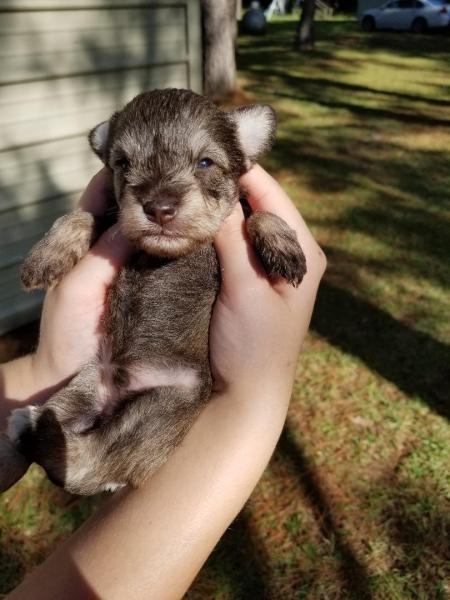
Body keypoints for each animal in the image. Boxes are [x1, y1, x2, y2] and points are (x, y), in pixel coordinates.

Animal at [0, 88, 306, 492]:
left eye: (205, 162)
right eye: (122, 163)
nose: (159, 208)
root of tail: (115, 393)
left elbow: (258, 215)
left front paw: (284, 248)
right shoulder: (109, 219)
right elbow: (78, 216)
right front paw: (44, 257)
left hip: (163, 405)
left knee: (92, 460)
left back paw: (30, 425)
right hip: (85, 386)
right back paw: (27, 424)